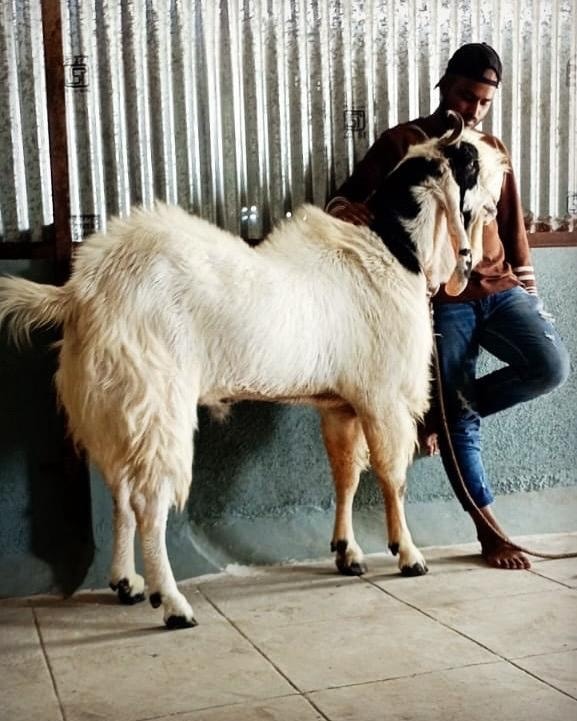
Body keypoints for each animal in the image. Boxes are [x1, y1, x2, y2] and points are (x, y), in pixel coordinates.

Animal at [0, 119, 507, 629]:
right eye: (467, 158)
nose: (503, 164)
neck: (393, 249)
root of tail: (80, 292)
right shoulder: (381, 396)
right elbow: (391, 474)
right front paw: (408, 555)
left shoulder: (340, 404)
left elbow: (345, 474)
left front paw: (347, 552)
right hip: (156, 400)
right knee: (149, 501)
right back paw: (173, 604)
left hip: (116, 405)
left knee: (122, 491)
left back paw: (127, 583)